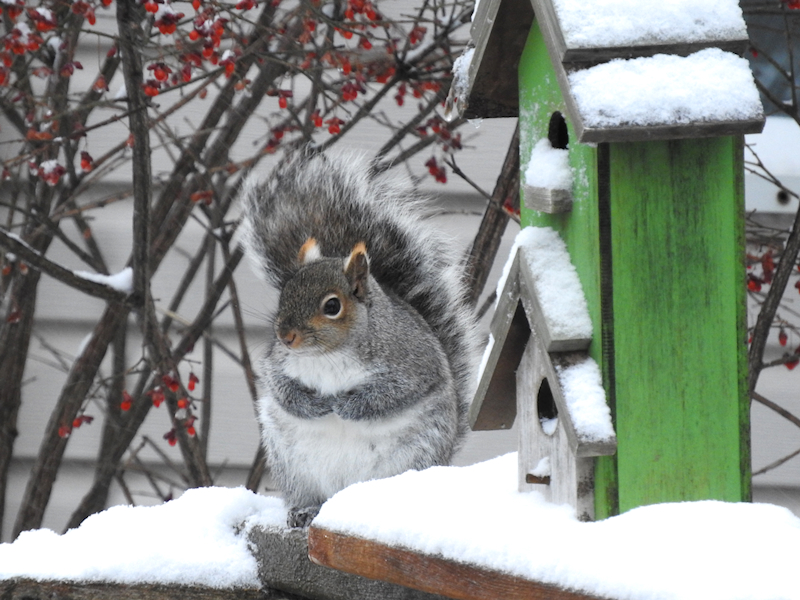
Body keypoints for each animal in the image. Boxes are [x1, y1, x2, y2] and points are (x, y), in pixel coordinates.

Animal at [238, 152, 476, 528]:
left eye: (332, 306)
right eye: (284, 295)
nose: (285, 336)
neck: (328, 354)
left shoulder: (412, 364)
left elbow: (393, 394)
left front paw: (345, 406)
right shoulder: (279, 362)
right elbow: (281, 388)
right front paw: (314, 405)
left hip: (411, 458)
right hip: (295, 470)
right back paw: (304, 512)